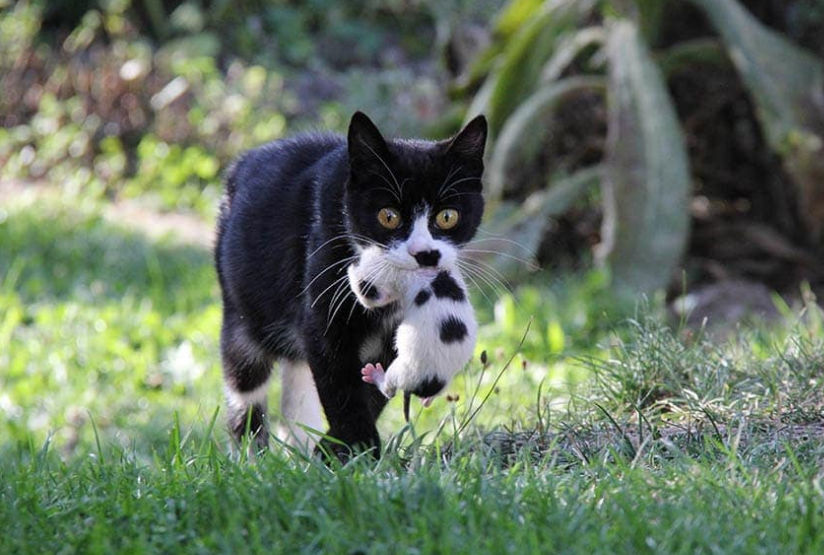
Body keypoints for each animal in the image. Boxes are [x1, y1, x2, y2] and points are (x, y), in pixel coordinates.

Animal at [214, 111, 490, 458]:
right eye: (388, 216)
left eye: (448, 216)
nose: (424, 253)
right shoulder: (323, 306)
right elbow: (340, 385)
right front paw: (358, 450)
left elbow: (372, 390)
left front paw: (334, 451)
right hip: (241, 312)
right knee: (245, 387)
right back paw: (252, 458)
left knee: (297, 381)